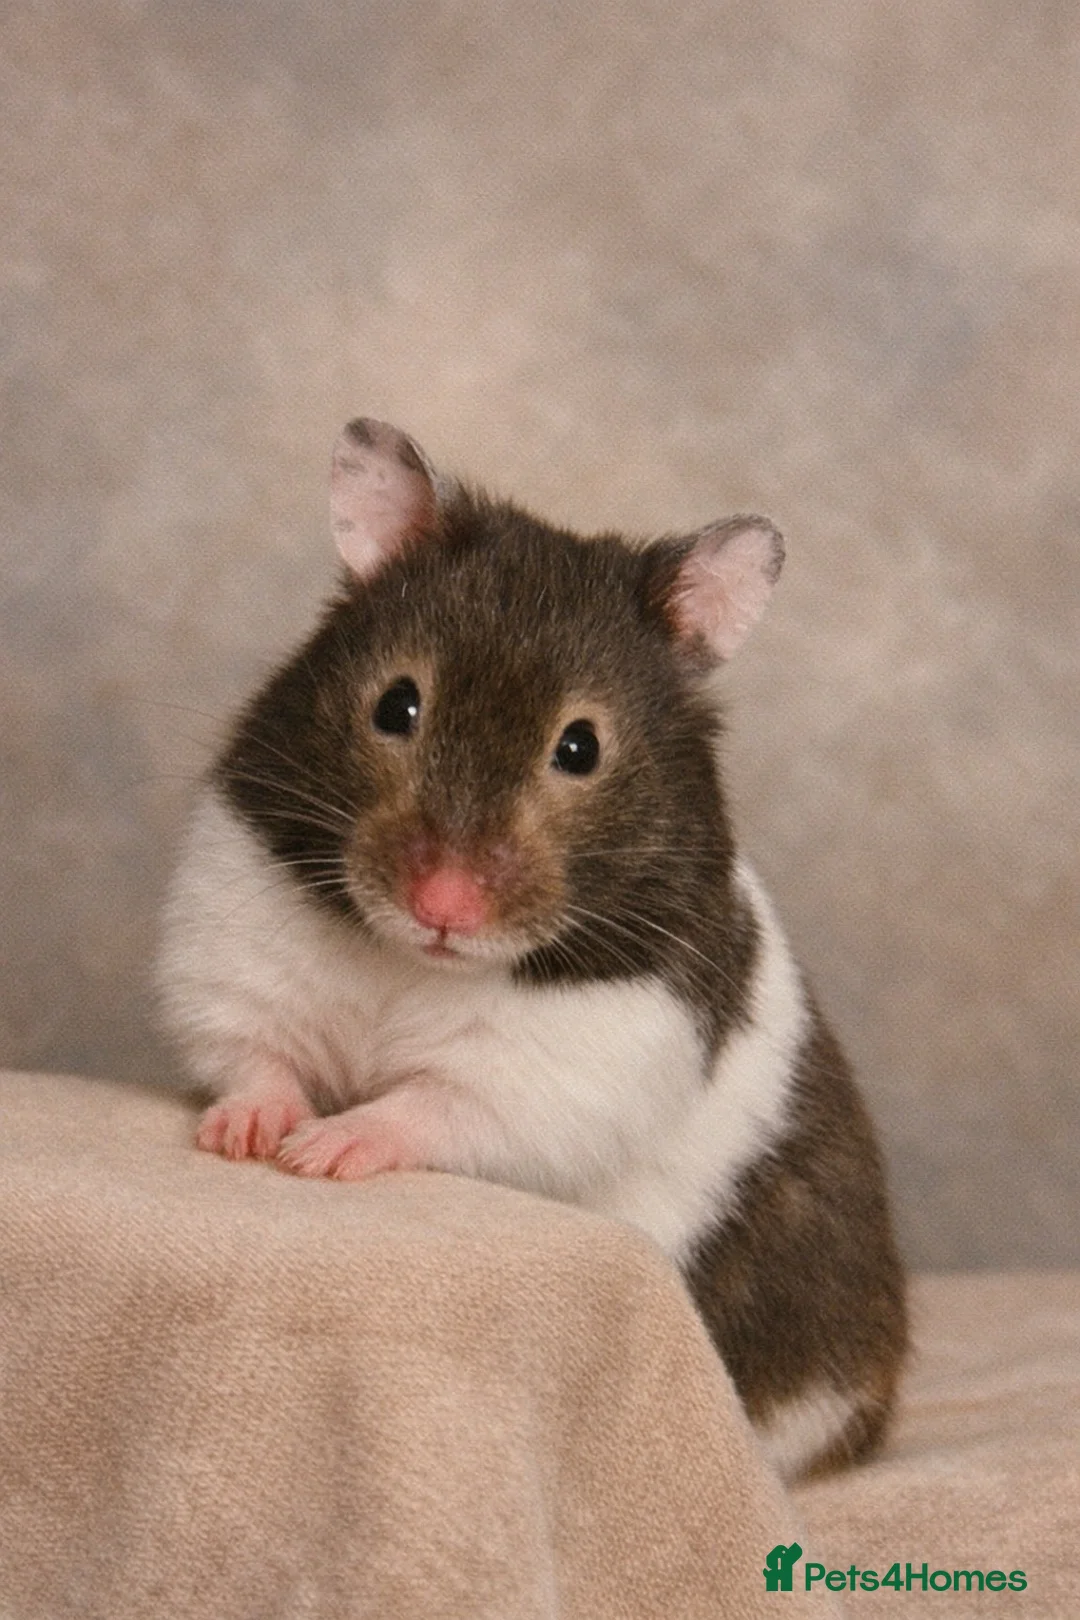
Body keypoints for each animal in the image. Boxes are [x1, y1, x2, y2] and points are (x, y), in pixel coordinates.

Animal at [159, 416, 907, 1481]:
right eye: (397, 706)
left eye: (580, 748)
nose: (442, 903)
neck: (417, 967)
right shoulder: (240, 927)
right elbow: (256, 1052)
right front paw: (249, 1136)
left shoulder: (572, 1059)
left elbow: (436, 1103)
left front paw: (324, 1154)